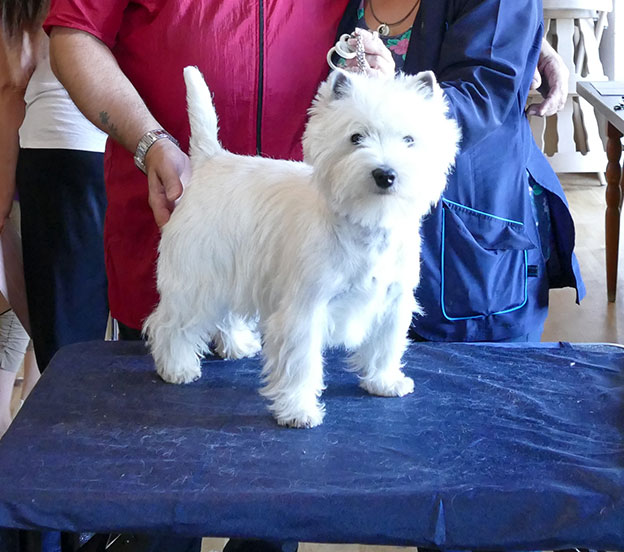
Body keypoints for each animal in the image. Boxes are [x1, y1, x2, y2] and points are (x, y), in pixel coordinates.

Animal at [145, 64, 458, 426]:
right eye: (356, 138)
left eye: (409, 140)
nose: (385, 174)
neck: (364, 225)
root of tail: (210, 160)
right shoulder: (306, 306)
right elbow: (301, 361)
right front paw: (298, 410)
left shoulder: (393, 299)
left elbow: (386, 344)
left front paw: (384, 381)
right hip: (198, 272)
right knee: (172, 323)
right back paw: (178, 367)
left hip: (233, 270)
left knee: (225, 313)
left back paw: (238, 345)